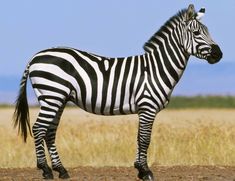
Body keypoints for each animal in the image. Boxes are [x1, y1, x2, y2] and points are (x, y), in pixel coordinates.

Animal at [13, 4, 222, 181]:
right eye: (196, 32)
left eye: (208, 32)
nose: (218, 55)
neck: (156, 68)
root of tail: (35, 56)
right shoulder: (148, 107)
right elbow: (145, 139)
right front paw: (145, 171)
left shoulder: (143, 109)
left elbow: (139, 137)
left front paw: (139, 168)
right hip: (52, 95)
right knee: (38, 128)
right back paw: (46, 170)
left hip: (58, 99)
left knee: (49, 132)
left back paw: (61, 170)